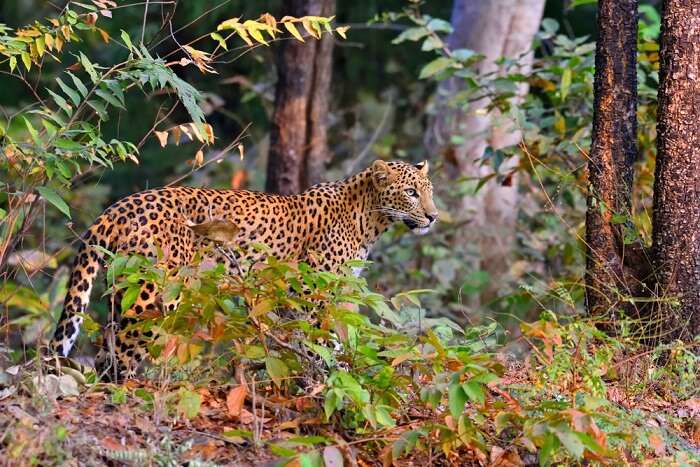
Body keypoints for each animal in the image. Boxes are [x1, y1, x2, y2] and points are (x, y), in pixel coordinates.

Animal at [50, 159, 438, 378]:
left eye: (429, 191)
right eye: (411, 193)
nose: (433, 216)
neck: (370, 219)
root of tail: (119, 205)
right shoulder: (315, 293)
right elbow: (322, 342)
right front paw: (331, 381)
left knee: (106, 348)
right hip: (154, 296)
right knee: (120, 353)